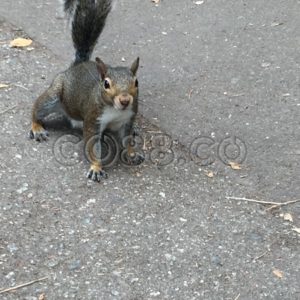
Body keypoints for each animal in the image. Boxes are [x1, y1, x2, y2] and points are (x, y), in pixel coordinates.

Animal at [29, 0, 144, 182]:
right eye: (106, 84)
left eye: (136, 82)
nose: (125, 100)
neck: (115, 110)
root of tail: (78, 65)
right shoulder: (92, 118)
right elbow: (92, 144)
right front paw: (96, 167)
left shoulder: (128, 119)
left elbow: (127, 139)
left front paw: (132, 154)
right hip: (54, 95)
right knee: (37, 109)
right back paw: (37, 127)